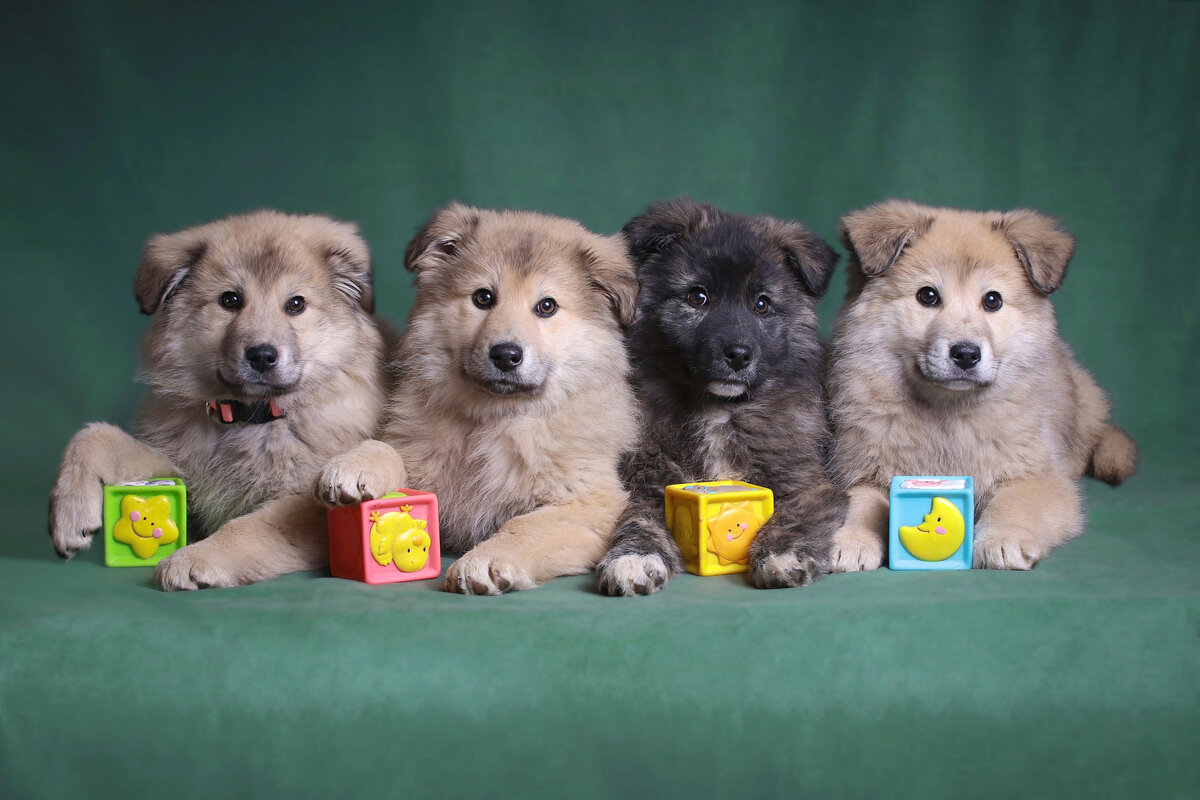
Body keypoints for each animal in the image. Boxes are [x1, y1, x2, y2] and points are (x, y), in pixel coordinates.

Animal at [50, 211, 388, 587]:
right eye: (229, 300)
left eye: (296, 304)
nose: (262, 356)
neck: (249, 417)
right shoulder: (180, 468)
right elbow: (95, 435)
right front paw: (70, 513)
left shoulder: (306, 505)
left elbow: (250, 528)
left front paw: (195, 557)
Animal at [314, 203, 643, 594]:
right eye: (483, 298)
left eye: (547, 306)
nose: (505, 354)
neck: (497, 420)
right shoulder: (421, 456)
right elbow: (386, 447)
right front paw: (353, 467)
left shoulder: (589, 503)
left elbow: (525, 527)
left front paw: (485, 560)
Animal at [595, 196, 849, 594]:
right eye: (697, 297)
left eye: (762, 304)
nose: (739, 355)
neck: (718, 408)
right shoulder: (646, 480)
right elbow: (639, 519)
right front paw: (634, 557)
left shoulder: (806, 483)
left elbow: (793, 518)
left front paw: (781, 554)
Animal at [830, 203, 1137, 573]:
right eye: (927, 295)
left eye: (992, 300)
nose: (966, 354)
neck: (947, 413)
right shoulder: (864, 473)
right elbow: (860, 506)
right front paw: (850, 539)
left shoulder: (1039, 479)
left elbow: (1015, 504)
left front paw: (1004, 538)